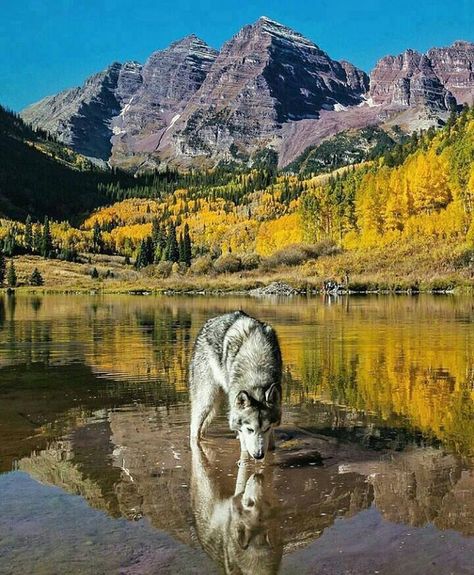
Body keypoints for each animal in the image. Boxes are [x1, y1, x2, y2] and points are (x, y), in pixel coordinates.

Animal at [189, 310, 282, 460]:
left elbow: (271, 445)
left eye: (266, 428)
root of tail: (208, 322)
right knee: (194, 431)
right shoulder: (243, 431)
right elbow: (244, 452)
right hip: (206, 402)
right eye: (250, 429)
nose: (258, 455)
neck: (256, 367)